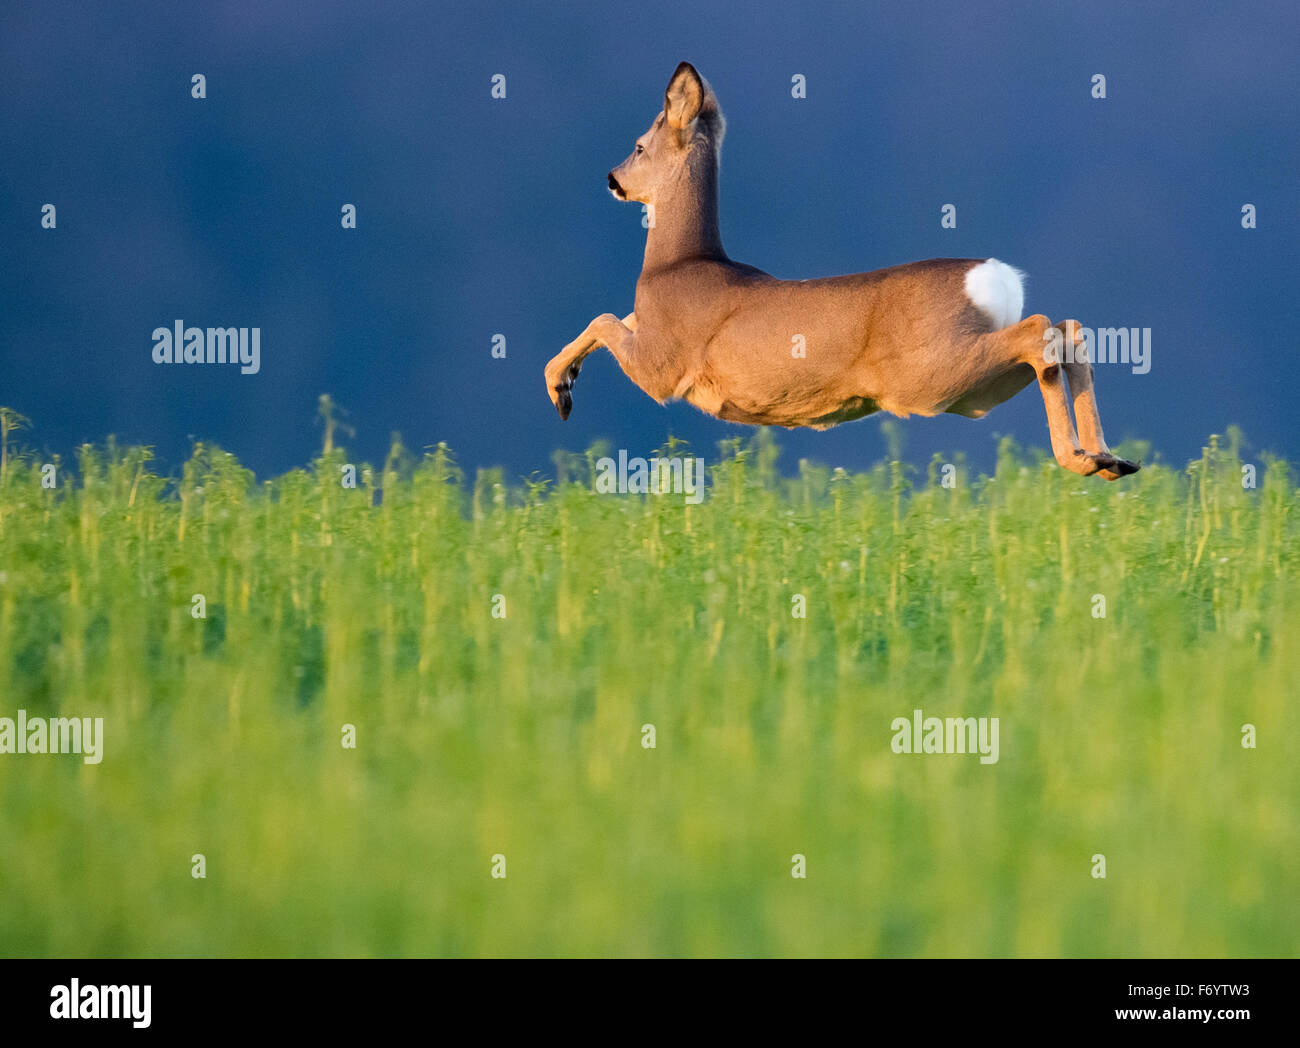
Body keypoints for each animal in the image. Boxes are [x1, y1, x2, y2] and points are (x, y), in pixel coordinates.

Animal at [546, 61, 1138, 481]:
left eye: (639, 145)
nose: (612, 178)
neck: (679, 263)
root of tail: (996, 277)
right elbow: (610, 318)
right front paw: (564, 384)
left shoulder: (664, 366)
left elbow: (605, 319)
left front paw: (561, 392)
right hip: (973, 389)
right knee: (1068, 331)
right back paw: (1109, 458)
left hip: (929, 372)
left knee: (1042, 330)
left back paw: (1083, 460)